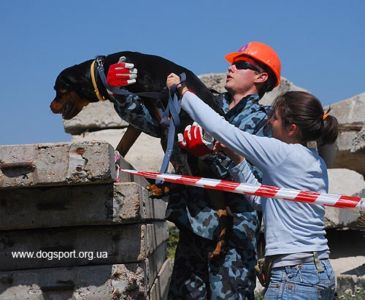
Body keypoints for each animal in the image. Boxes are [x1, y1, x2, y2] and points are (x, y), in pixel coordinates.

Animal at [49, 51, 229, 258]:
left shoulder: (165, 122)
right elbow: (126, 140)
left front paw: (163, 186)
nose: (50, 106)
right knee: (224, 210)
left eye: (58, 89)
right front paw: (116, 157)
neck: (105, 68)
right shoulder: (143, 119)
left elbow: (177, 165)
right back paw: (219, 246)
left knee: (189, 178)